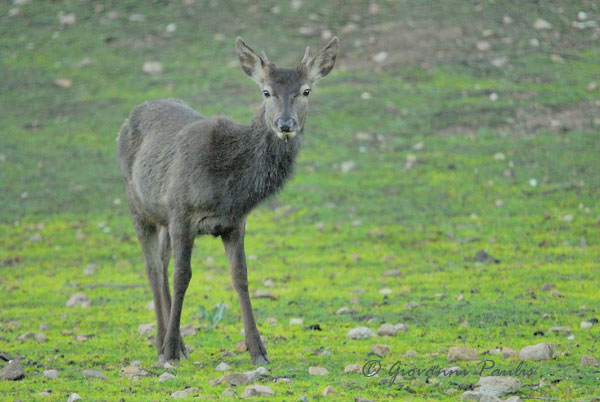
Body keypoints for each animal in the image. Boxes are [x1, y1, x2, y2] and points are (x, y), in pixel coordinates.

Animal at [118, 37, 340, 364]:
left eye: (306, 90)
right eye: (266, 91)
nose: (285, 123)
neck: (226, 187)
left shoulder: (235, 223)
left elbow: (240, 277)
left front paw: (258, 351)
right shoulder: (182, 213)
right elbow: (182, 276)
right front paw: (169, 353)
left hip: (162, 218)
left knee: (161, 261)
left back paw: (178, 343)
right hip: (137, 204)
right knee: (153, 267)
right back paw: (163, 343)